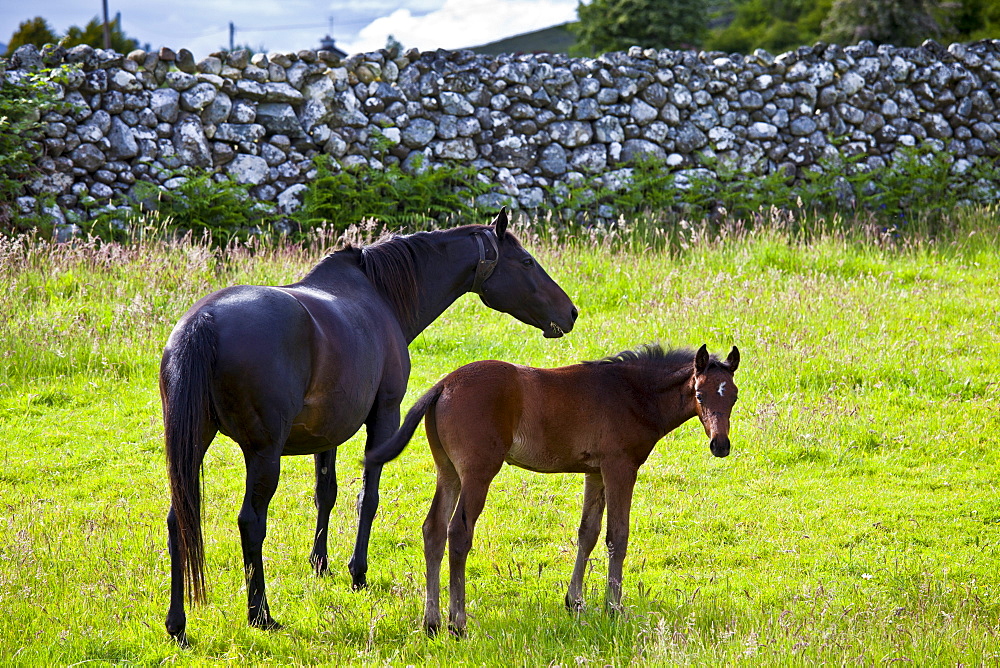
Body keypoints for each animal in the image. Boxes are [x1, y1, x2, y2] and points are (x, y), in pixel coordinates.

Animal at [159, 210, 576, 648]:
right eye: (526, 261)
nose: (570, 313)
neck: (378, 295)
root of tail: (203, 322)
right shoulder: (385, 417)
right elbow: (368, 498)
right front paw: (357, 572)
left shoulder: (326, 432)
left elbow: (325, 494)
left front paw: (320, 563)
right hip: (263, 453)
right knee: (251, 522)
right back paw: (261, 615)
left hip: (194, 445)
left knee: (178, 520)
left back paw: (177, 624)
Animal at [364, 344, 740, 636]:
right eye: (700, 394)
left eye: (734, 396)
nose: (720, 445)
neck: (632, 393)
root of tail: (444, 384)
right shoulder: (620, 468)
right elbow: (617, 536)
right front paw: (614, 608)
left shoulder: (595, 472)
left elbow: (588, 533)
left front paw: (575, 603)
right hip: (477, 472)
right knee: (458, 532)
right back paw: (457, 623)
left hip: (449, 472)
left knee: (433, 530)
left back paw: (432, 623)